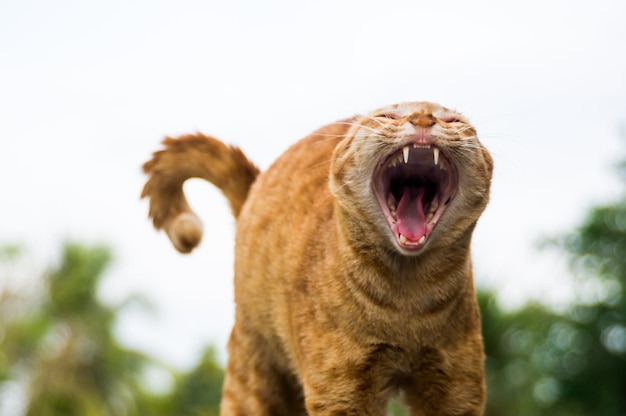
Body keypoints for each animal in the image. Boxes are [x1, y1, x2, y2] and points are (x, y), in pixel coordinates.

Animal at [141, 101, 492, 416]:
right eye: (388, 116)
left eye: (452, 121)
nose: (423, 119)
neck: (407, 301)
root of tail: (257, 183)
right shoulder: (341, 391)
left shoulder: (456, 388)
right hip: (255, 377)